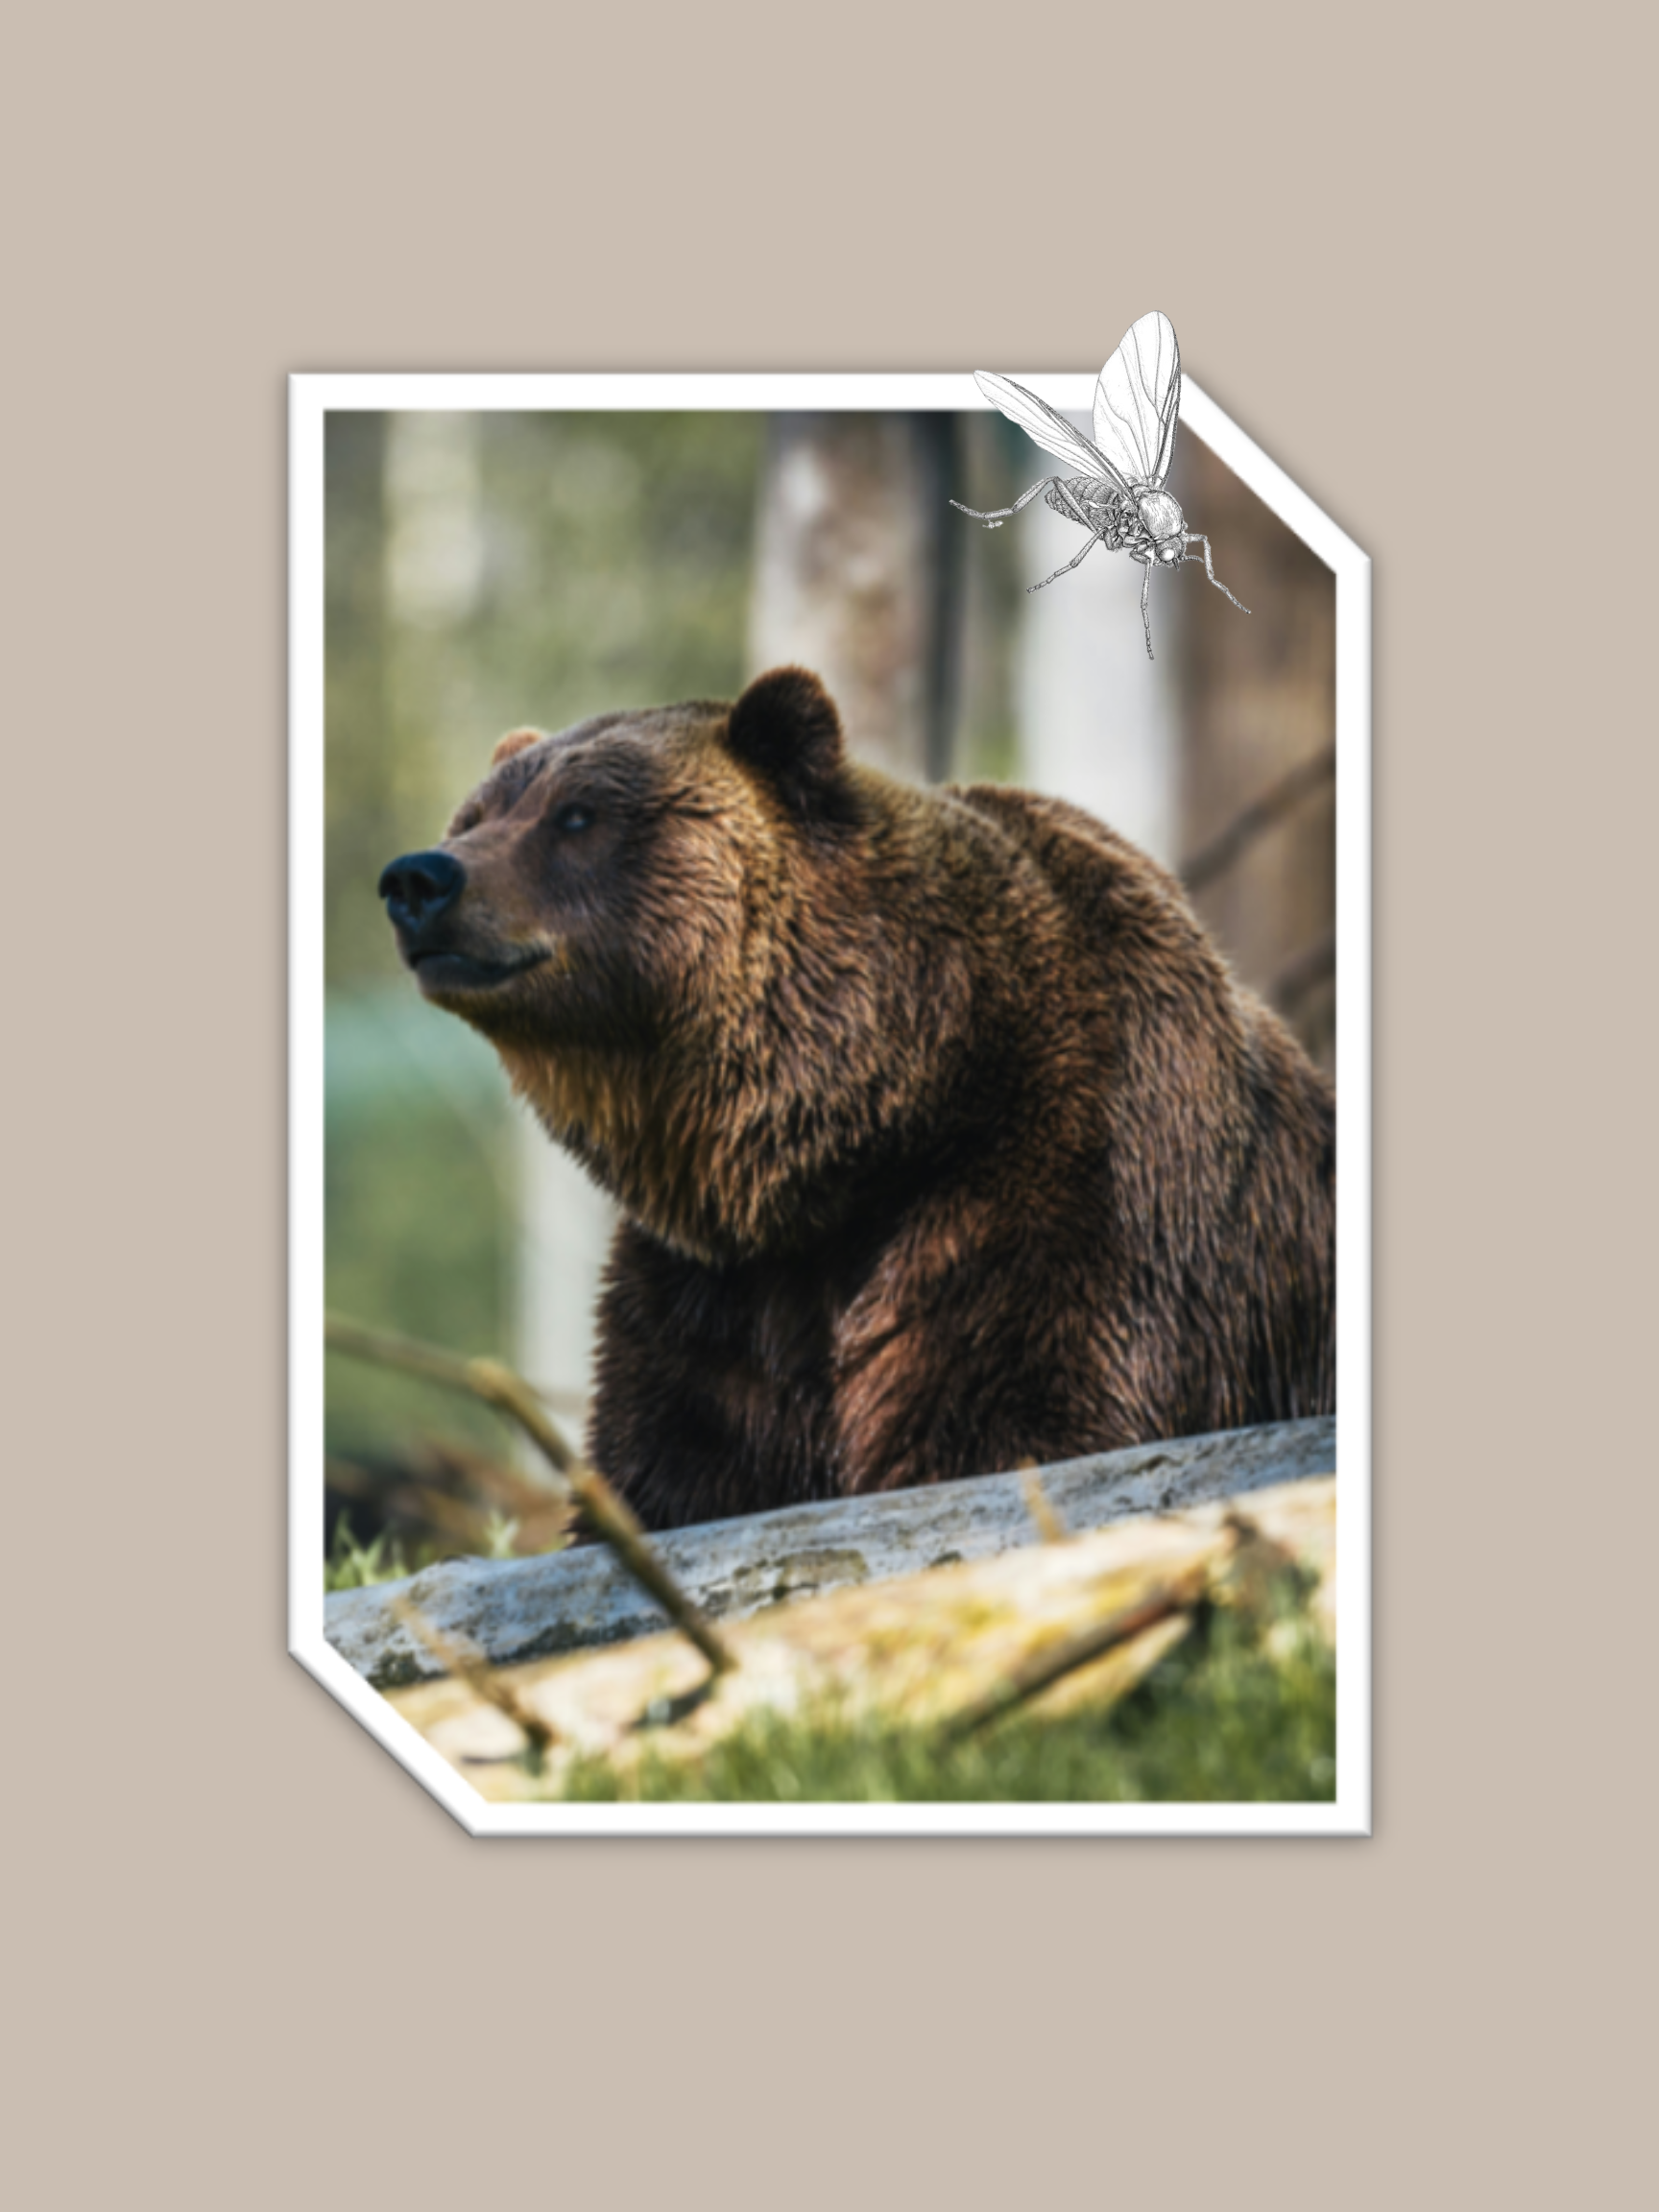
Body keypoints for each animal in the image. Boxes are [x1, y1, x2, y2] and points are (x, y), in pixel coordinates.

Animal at [380, 665, 1335, 1532]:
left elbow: (1013, 1420)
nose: (419, 878)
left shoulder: (1065, 1191)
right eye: (474, 816)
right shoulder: (713, 1295)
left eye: (577, 815)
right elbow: (672, 1466)